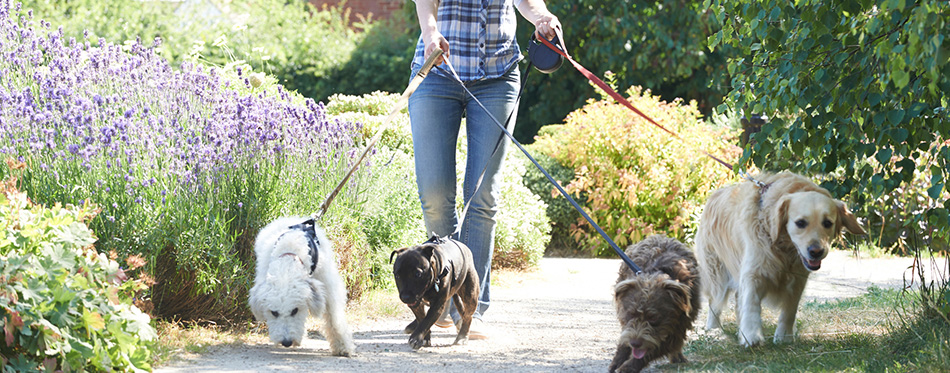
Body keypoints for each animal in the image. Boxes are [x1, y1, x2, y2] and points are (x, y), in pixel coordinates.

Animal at [249, 215, 356, 354]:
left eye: (295, 310)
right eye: (274, 312)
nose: (287, 342)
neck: (290, 252)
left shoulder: (329, 288)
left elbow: (334, 319)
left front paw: (343, 346)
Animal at [612, 235, 704, 372]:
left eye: (653, 318)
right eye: (631, 314)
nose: (635, 343)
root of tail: (659, 236)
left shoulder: (679, 326)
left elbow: (657, 348)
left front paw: (628, 367)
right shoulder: (627, 322)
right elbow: (626, 337)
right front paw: (617, 361)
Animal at [696, 171, 868, 346]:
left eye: (827, 223)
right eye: (800, 223)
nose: (816, 251)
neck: (783, 247)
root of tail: (714, 195)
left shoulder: (798, 279)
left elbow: (789, 310)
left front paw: (784, 336)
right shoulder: (753, 271)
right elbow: (751, 303)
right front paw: (751, 335)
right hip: (717, 272)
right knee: (715, 302)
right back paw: (714, 329)